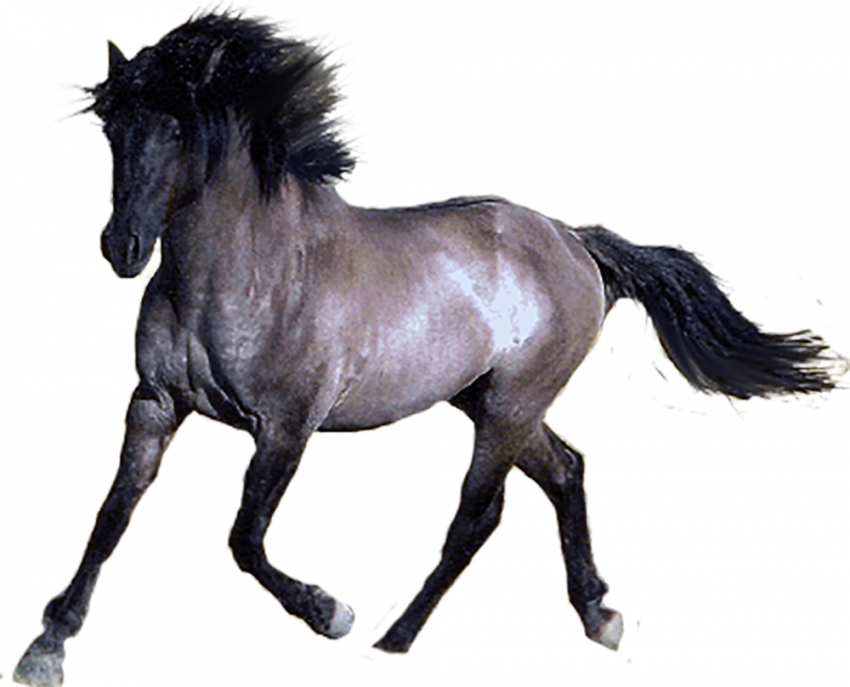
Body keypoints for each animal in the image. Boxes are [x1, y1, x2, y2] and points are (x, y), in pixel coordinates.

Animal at [15, 4, 850, 686]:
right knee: (567, 471)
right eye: (112, 126)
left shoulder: (285, 426)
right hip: (491, 400)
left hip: (509, 404)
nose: (122, 248)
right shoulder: (156, 402)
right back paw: (598, 615)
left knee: (478, 518)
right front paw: (48, 642)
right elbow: (111, 515)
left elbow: (245, 538)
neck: (240, 274)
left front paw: (330, 612)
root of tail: (577, 244)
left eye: (179, 128)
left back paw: (395, 635)